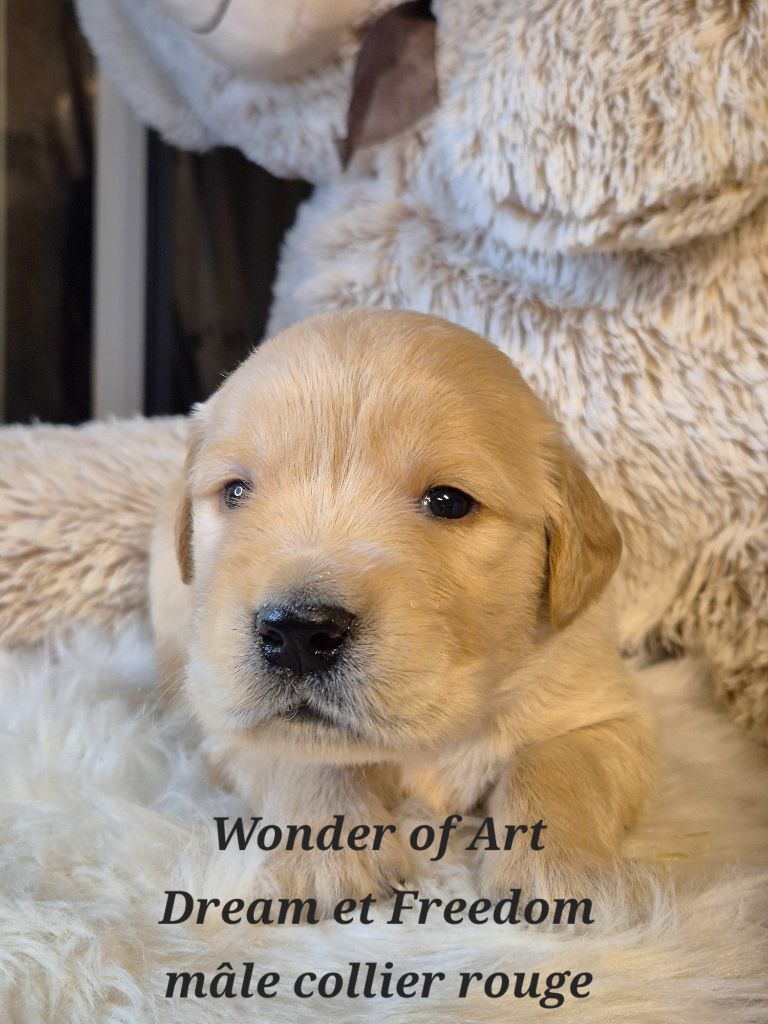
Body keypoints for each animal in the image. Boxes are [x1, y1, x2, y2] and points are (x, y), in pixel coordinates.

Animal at [150, 308, 656, 908]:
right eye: (235, 492)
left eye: (449, 502)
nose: (298, 633)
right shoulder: (231, 727)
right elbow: (303, 753)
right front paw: (330, 855)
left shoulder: (605, 710)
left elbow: (558, 765)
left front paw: (557, 870)